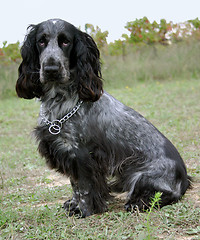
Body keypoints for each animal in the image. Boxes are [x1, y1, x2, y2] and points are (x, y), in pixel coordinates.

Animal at [15, 18, 191, 218]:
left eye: (66, 42)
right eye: (41, 41)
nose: (51, 69)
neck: (60, 101)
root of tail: (184, 179)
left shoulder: (81, 155)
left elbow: (83, 187)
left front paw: (84, 210)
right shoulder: (68, 154)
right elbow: (75, 185)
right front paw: (73, 205)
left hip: (142, 176)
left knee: (164, 194)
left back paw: (137, 202)